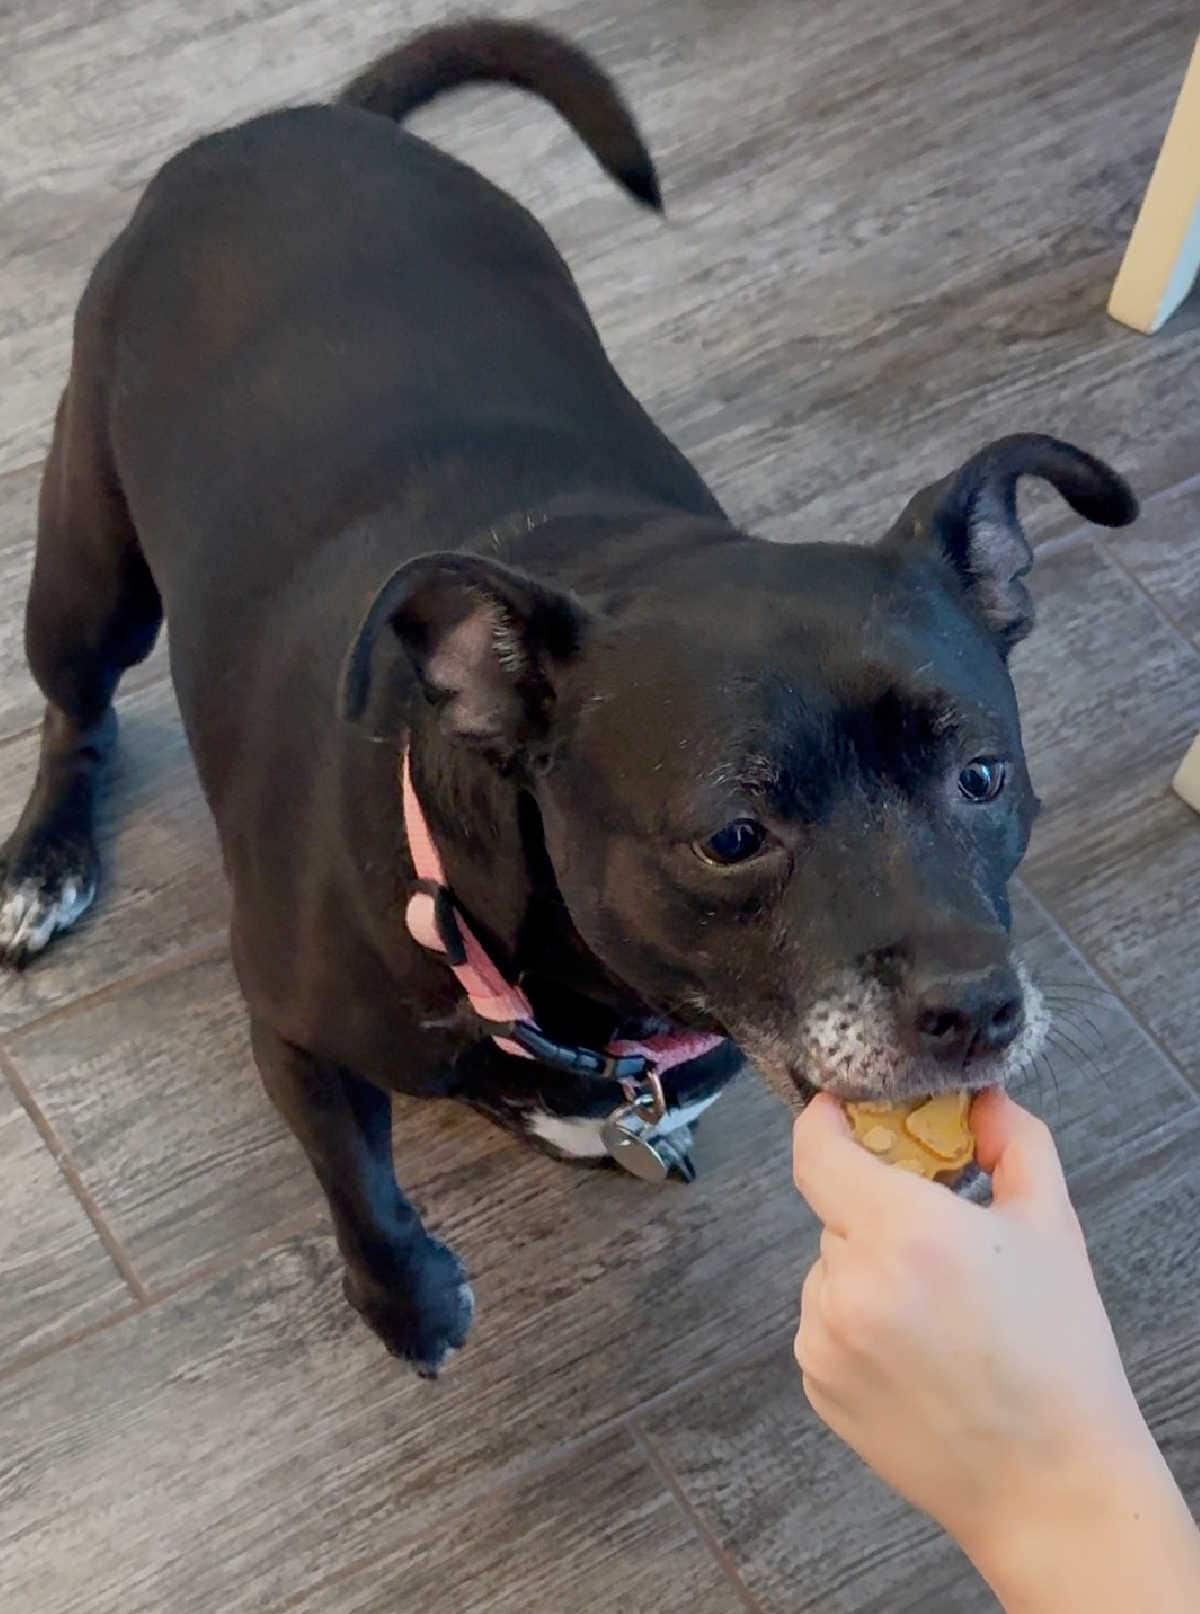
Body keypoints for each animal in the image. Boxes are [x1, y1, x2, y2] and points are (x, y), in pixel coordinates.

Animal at [2, 18, 1137, 1368]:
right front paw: (407, 1297)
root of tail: (298, 119)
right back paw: (43, 863)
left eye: (982, 775)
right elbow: (354, 1177)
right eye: (732, 838)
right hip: (89, 571)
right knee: (78, 709)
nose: (975, 1008)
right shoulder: (291, 1034)